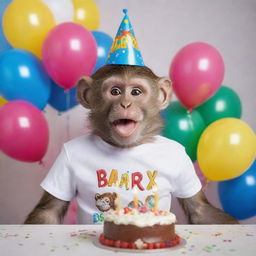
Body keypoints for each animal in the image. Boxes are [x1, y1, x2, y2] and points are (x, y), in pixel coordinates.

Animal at [24, 64, 238, 224]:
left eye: (136, 92)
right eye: (115, 91)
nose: (125, 103)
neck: (126, 147)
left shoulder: (181, 156)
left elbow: (200, 210)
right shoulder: (66, 155)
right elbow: (49, 211)